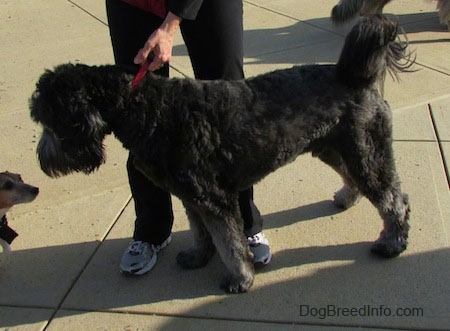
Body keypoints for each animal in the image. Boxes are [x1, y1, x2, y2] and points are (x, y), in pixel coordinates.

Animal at [30, 15, 412, 294]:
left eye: (51, 121)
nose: (43, 161)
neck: (150, 108)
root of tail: (355, 77)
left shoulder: (214, 198)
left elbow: (229, 241)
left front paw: (239, 278)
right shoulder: (191, 197)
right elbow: (202, 232)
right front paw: (199, 256)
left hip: (365, 151)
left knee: (394, 199)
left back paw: (392, 242)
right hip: (336, 148)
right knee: (357, 178)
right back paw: (347, 198)